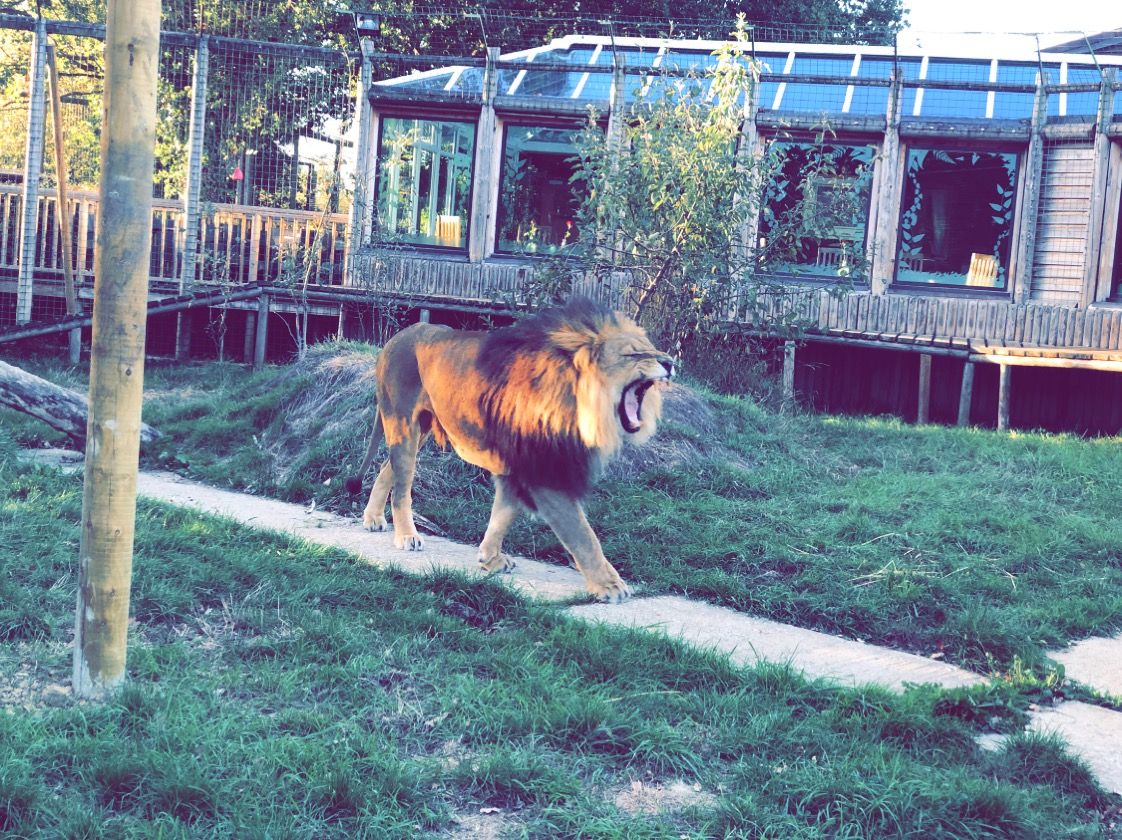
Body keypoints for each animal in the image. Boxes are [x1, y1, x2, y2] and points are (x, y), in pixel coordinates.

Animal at [343, 298, 673, 601]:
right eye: (633, 353)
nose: (670, 362)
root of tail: (396, 337)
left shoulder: (518, 465)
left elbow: (504, 514)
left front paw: (489, 558)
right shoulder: (544, 474)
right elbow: (583, 534)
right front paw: (610, 586)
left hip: (420, 430)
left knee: (387, 468)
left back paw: (373, 518)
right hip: (403, 427)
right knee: (402, 488)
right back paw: (407, 535)